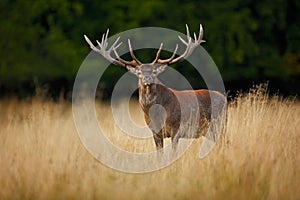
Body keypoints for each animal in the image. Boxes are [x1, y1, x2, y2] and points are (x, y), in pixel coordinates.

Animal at [83, 25, 226, 153]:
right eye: (139, 72)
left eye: (153, 71)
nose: (147, 78)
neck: (156, 114)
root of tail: (224, 98)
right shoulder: (154, 132)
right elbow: (159, 155)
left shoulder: (176, 129)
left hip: (219, 125)